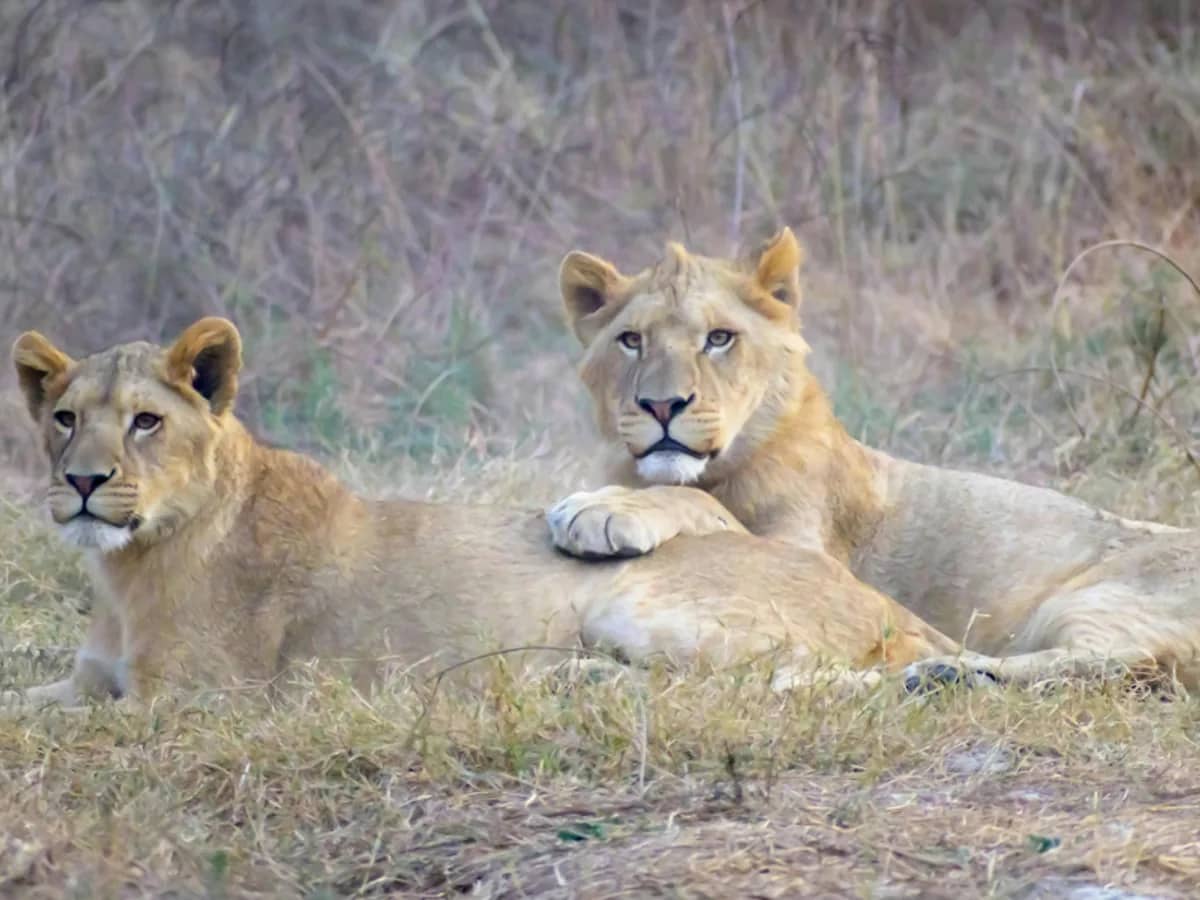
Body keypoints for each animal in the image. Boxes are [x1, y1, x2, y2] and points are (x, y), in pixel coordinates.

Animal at [4, 316, 976, 709]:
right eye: (65, 419)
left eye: (146, 421)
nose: (82, 482)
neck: (124, 568)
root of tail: (882, 603)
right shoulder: (88, 681)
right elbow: (24, 705)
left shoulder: (197, 701)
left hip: (637, 602)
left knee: (744, 686)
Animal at [549, 228, 1200, 690]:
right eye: (631, 340)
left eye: (719, 338)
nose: (662, 405)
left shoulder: (809, 556)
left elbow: (693, 500)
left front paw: (597, 511)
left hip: (1091, 600)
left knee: (1128, 663)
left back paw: (948, 674)